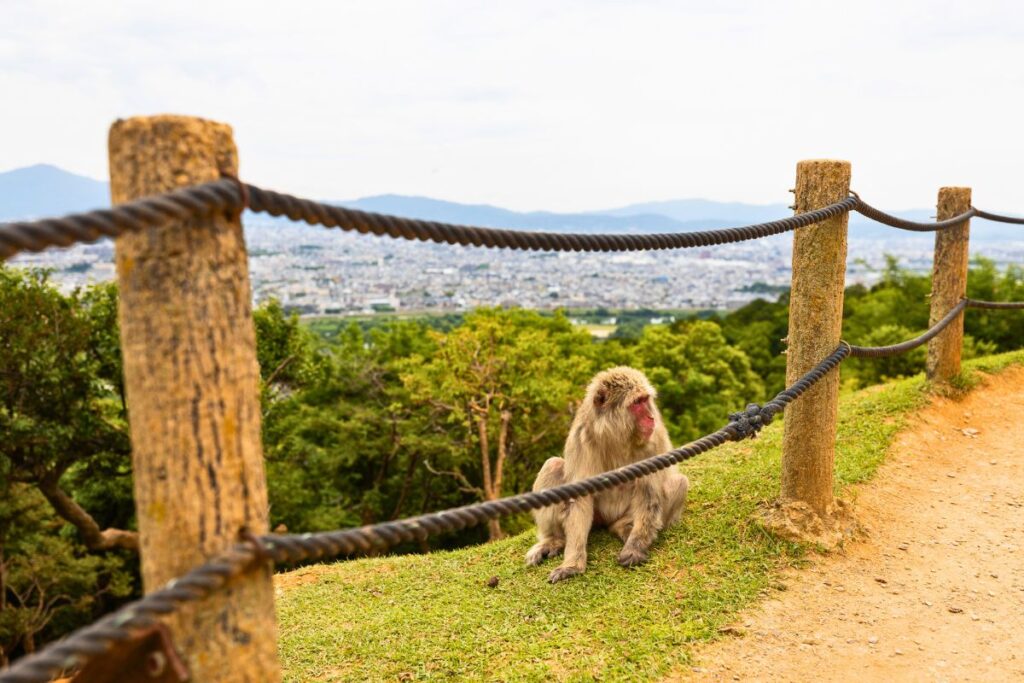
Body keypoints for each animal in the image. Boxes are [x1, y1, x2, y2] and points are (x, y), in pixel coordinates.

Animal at [525, 366, 689, 583]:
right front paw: (572, 565)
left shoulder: (652, 441)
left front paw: (635, 548)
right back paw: (555, 540)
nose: (651, 418)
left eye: (645, 400)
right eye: (637, 403)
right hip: (597, 516)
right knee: (553, 466)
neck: (617, 436)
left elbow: (649, 492)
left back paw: (624, 527)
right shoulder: (581, 438)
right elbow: (580, 497)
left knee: (677, 482)